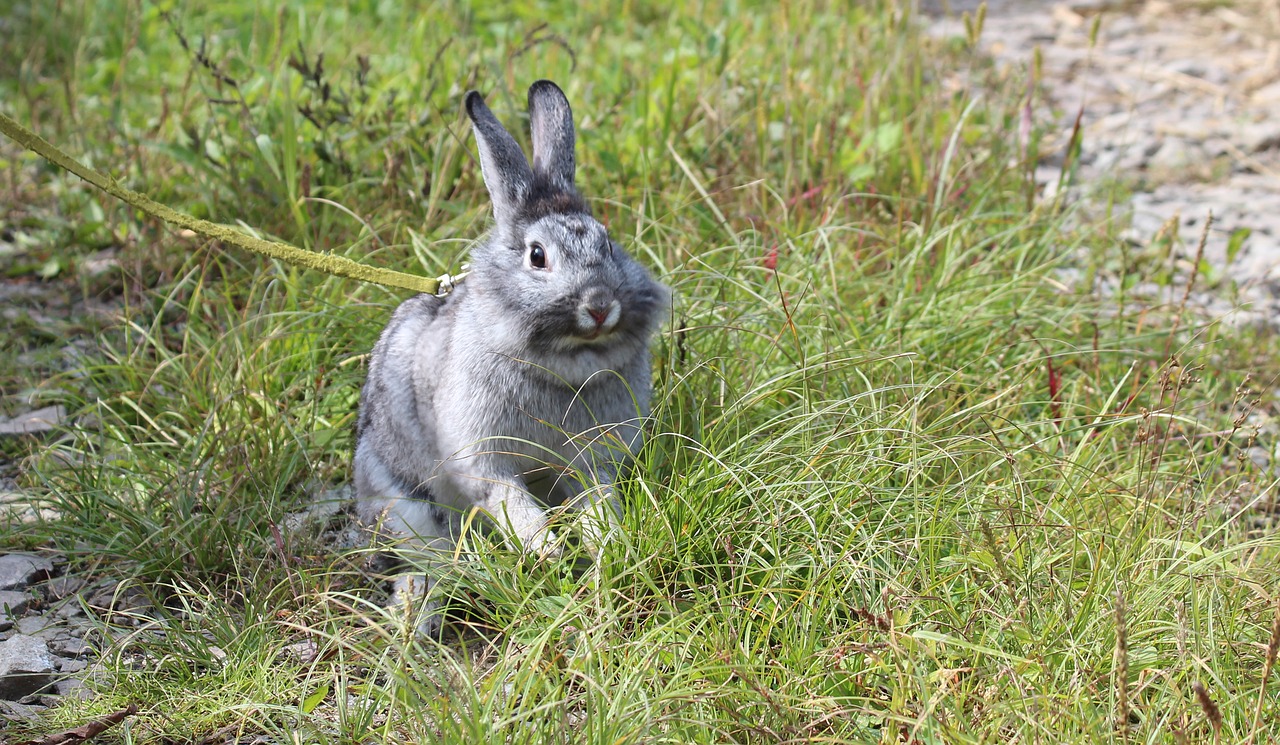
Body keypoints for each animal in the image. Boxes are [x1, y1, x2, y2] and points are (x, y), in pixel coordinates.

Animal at [353, 83, 670, 642]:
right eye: (537, 256)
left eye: (608, 243)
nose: (599, 305)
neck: (562, 363)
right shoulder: (482, 457)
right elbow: (507, 497)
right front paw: (546, 550)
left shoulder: (592, 462)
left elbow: (597, 502)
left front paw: (609, 545)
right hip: (406, 506)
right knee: (424, 565)